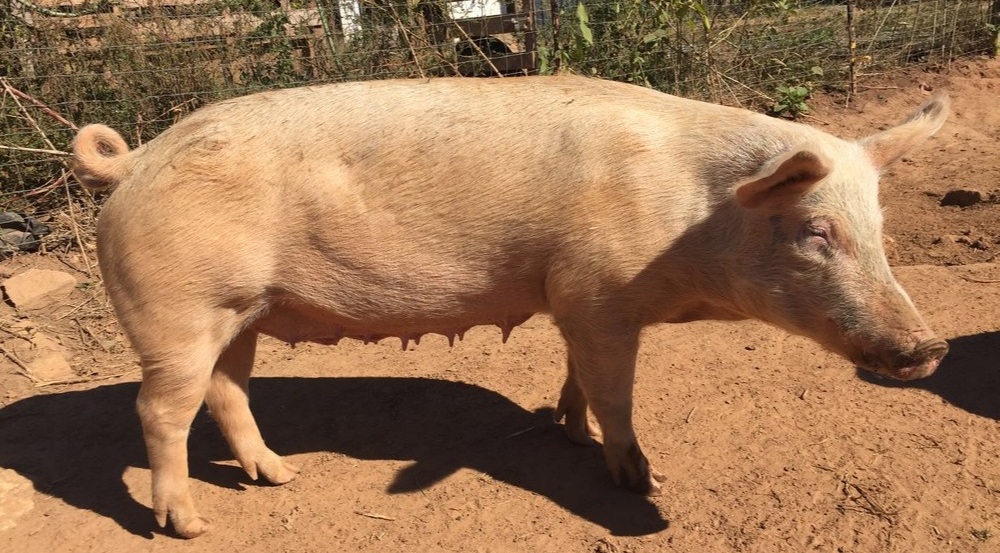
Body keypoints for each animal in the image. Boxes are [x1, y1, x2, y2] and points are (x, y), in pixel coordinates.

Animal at [70, 75, 949, 538]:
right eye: (815, 230)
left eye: (880, 228)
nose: (929, 348)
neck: (696, 225)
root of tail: (134, 162)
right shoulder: (599, 292)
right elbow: (617, 390)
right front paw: (638, 478)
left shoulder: (573, 299)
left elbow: (577, 377)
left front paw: (569, 429)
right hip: (177, 312)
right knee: (161, 408)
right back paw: (188, 525)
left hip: (242, 312)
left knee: (228, 391)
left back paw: (279, 476)